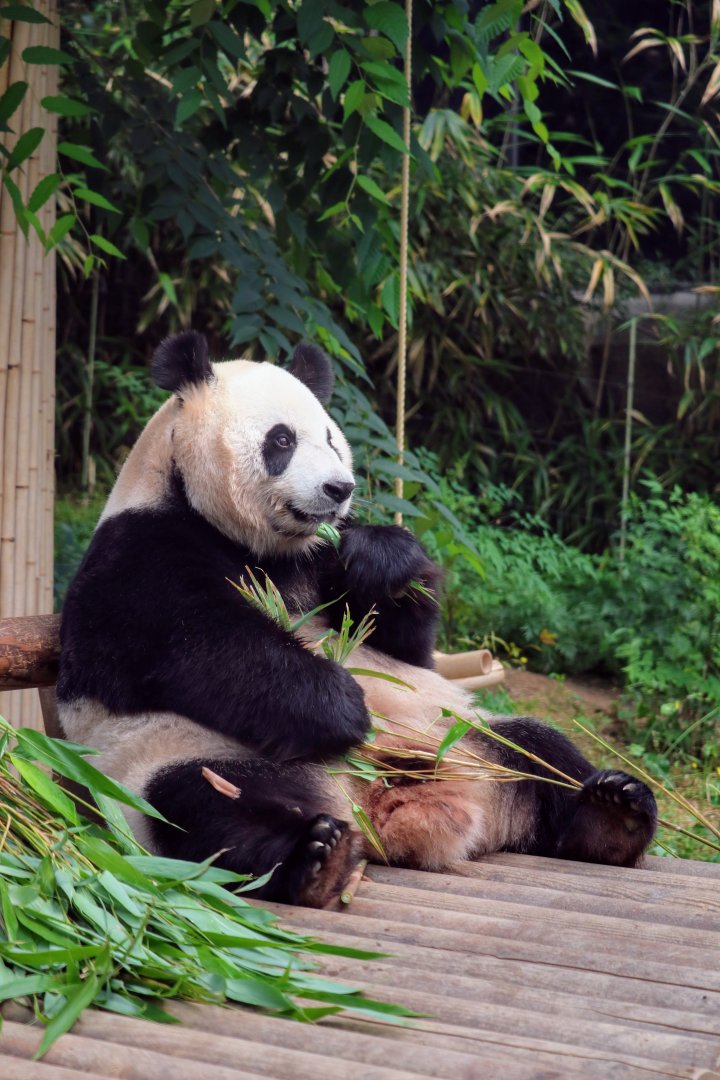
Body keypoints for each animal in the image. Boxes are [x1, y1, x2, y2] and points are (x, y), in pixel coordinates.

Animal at [57, 330, 658, 908]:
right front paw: (341, 705)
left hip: (461, 732)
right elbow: (202, 647)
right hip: (183, 760)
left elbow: (407, 644)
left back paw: (613, 813)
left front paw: (380, 560)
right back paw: (316, 861)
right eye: (281, 441)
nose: (338, 488)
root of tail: (377, 807)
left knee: (541, 753)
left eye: (329, 439)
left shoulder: (321, 557)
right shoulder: (137, 555)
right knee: (210, 813)